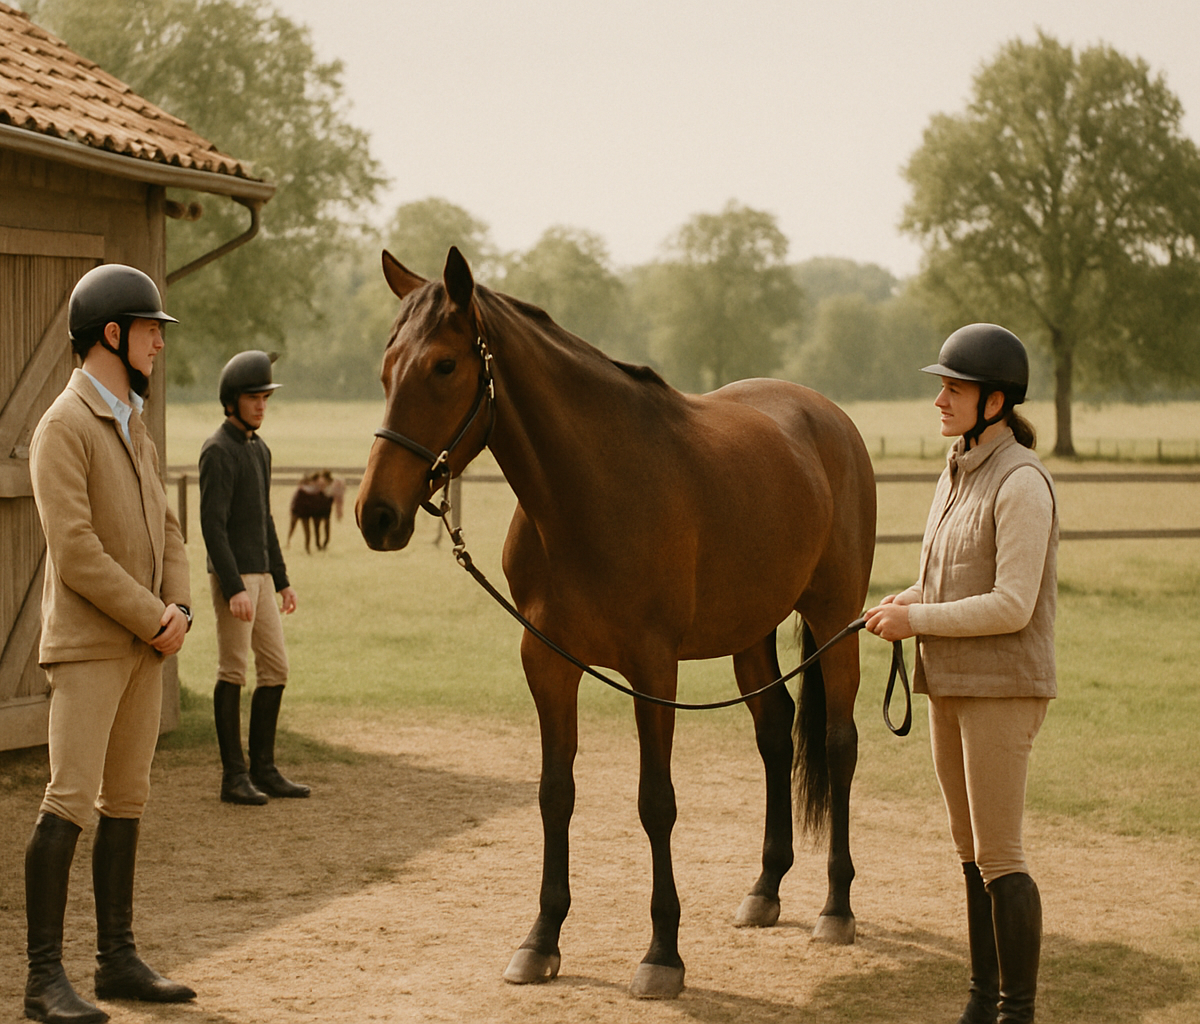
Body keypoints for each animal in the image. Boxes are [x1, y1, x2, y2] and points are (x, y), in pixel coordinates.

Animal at [357, 248, 876, 999]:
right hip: (750, 632)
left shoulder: (652, 668)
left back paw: (836, 906)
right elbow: (555, 795)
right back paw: (765, 889)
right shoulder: (547, 662)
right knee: (775, 735)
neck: (592, 491)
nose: (377, 515)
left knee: (838, 745)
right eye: (386, 368)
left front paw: (663, 954)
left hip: (836, 617)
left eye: (444, 366)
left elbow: (655, 802)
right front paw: (541, 939)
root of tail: (828, 417)